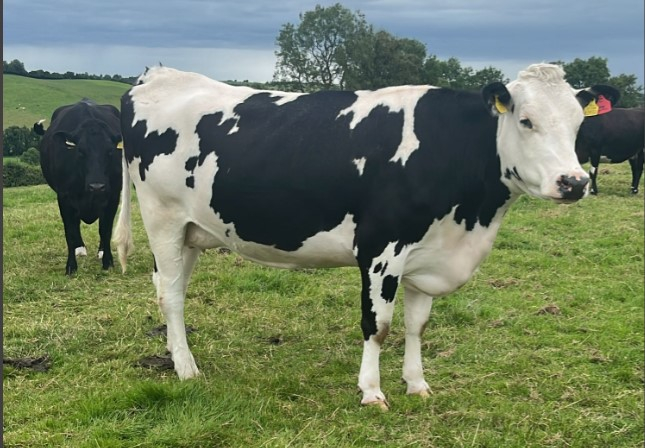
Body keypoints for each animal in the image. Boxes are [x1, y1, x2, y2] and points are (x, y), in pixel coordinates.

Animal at [35, 100, 124, 274]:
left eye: (110, 151)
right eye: (81, 151)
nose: (97, 186)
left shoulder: (113, 195)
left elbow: (105, 229)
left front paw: (107, 261)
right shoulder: (64, 197)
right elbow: (70, 230)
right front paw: (71, 267)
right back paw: (80, 249)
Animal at [112, 64, 592, 410]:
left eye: (577, 125)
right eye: (526, 121)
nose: (574, 182)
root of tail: (158, 74)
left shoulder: (428, 254)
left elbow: (417, 325)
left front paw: (417, 384)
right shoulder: (382, 249)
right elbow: (377, 326)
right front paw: (372, 392)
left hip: (192, 231)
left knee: (169, 287)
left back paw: (175, 352)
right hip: (162, 219)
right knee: (171, 296)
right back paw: (187, 369)